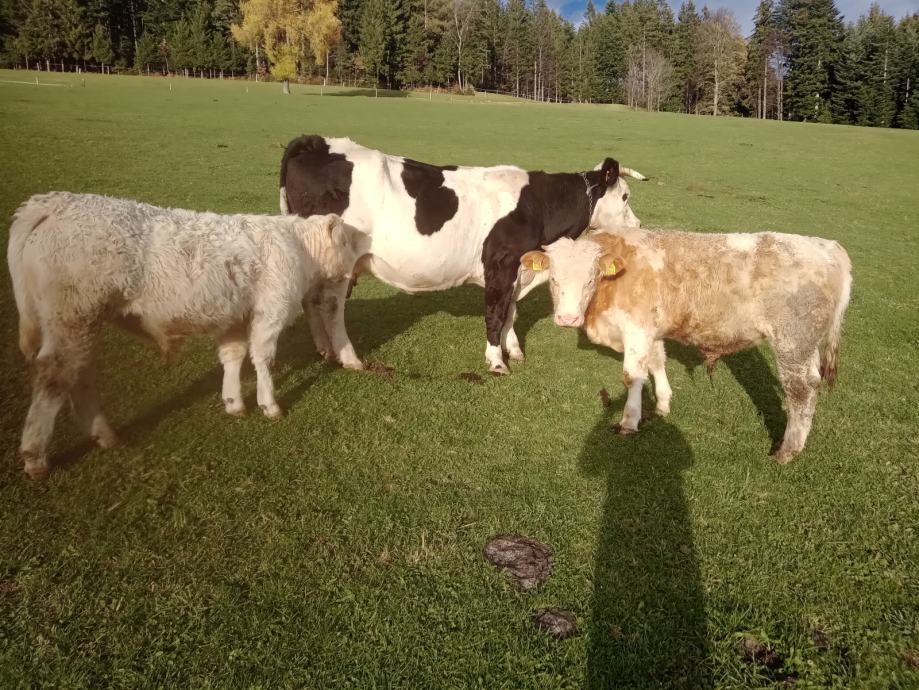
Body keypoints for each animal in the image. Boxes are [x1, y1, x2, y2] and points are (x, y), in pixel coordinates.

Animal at [10, 191, 364, 476]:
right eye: (348, 240)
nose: (356, 272)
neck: (298, 247)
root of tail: (52, 202)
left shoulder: (236, 316)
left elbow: (233, 355)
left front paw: (234, 402)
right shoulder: (270, 310)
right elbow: (263, 357)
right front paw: (269, 405)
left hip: (79, 323)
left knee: (79, 375)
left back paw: (104, 435)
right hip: (73, 316)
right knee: (56, 377)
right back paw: (36, 456)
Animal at [280, 134, 648, 370]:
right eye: (625, 196)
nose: (639, 224)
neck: (537, 205)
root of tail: (316, 142)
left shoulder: (517, 270)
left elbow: (511, 311)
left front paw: (513, 350)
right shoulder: (500, 263)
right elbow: (496, 312)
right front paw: (496, 361)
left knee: (311, 300)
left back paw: (325, 350)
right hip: (339, 262)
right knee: (330, 306)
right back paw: (349, 358)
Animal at [524, 230, 856, 462]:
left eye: (590, 279)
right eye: (553, 279)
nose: (567, 318)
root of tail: (828, 247)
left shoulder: (636, 329)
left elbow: (632, 376)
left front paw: (629, 422)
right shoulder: (652, 331)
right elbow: (656, 363)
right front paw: (662, 404)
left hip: (793, 342)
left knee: (801, 390)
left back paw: (787, 451)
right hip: (807, 345)